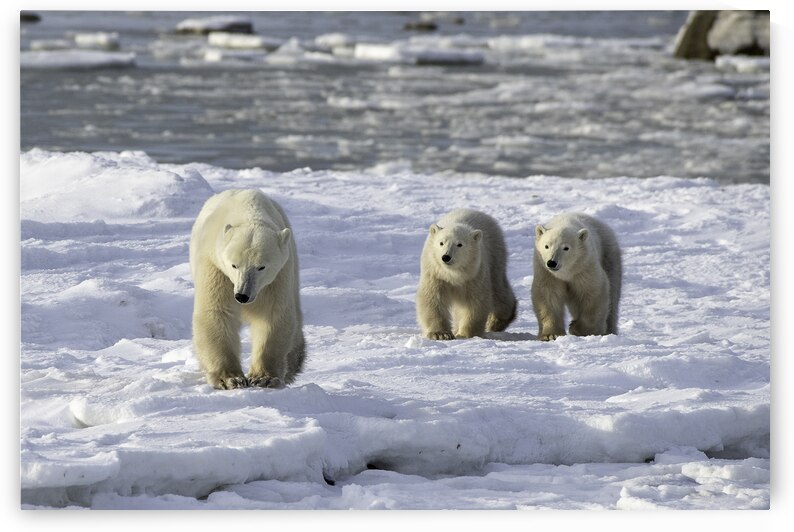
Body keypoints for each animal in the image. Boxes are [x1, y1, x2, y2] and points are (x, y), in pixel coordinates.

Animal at [189, 188, 305, 390]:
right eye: (234, 265)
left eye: (261, 267)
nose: (242, 295)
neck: (248, 212)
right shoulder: (215, 266)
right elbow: (218, 312)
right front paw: (230, 379)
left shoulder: (278, 276)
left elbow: (272, 314)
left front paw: (263, 378)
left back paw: (294, 363)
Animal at [416, 208, 517, 340]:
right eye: (441, 243)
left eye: (459, 244)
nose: (446, 257)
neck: (453, 274)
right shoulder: (436, 274)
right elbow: (433, 298)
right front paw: (441, 334)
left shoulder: (474, 275)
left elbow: (475, 301)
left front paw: (464, 334)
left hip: (495, 257)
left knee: (498, 289)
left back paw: (496, 322)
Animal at [531, 212, 622, 341]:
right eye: (546, 246)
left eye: (566, 248)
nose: (551, 262)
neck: (566, 273)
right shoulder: (546, 273)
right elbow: (548, 296)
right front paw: (550, 334)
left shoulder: (584, 268)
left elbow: (594, 293)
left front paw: (577, 328)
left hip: (609, 257)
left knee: (613, 297)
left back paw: (609, 331)